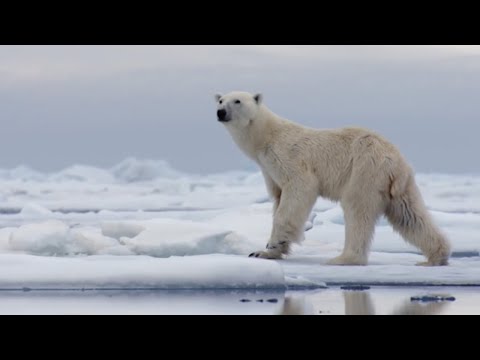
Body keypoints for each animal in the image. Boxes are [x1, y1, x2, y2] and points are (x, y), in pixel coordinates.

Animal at [216, 90, 452, 264]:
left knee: (357, 208)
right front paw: (267, 251)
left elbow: (297, 193)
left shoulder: (290, 158)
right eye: (220, 99)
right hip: (399, 185)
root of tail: (395, 158)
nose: (220, 112)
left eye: (237, 100)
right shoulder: (269, 170)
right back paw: (436, 255)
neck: (266, 137)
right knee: (409, 215)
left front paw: (267, 248)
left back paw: (344, 258)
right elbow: (277, 197)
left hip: (364, 169)